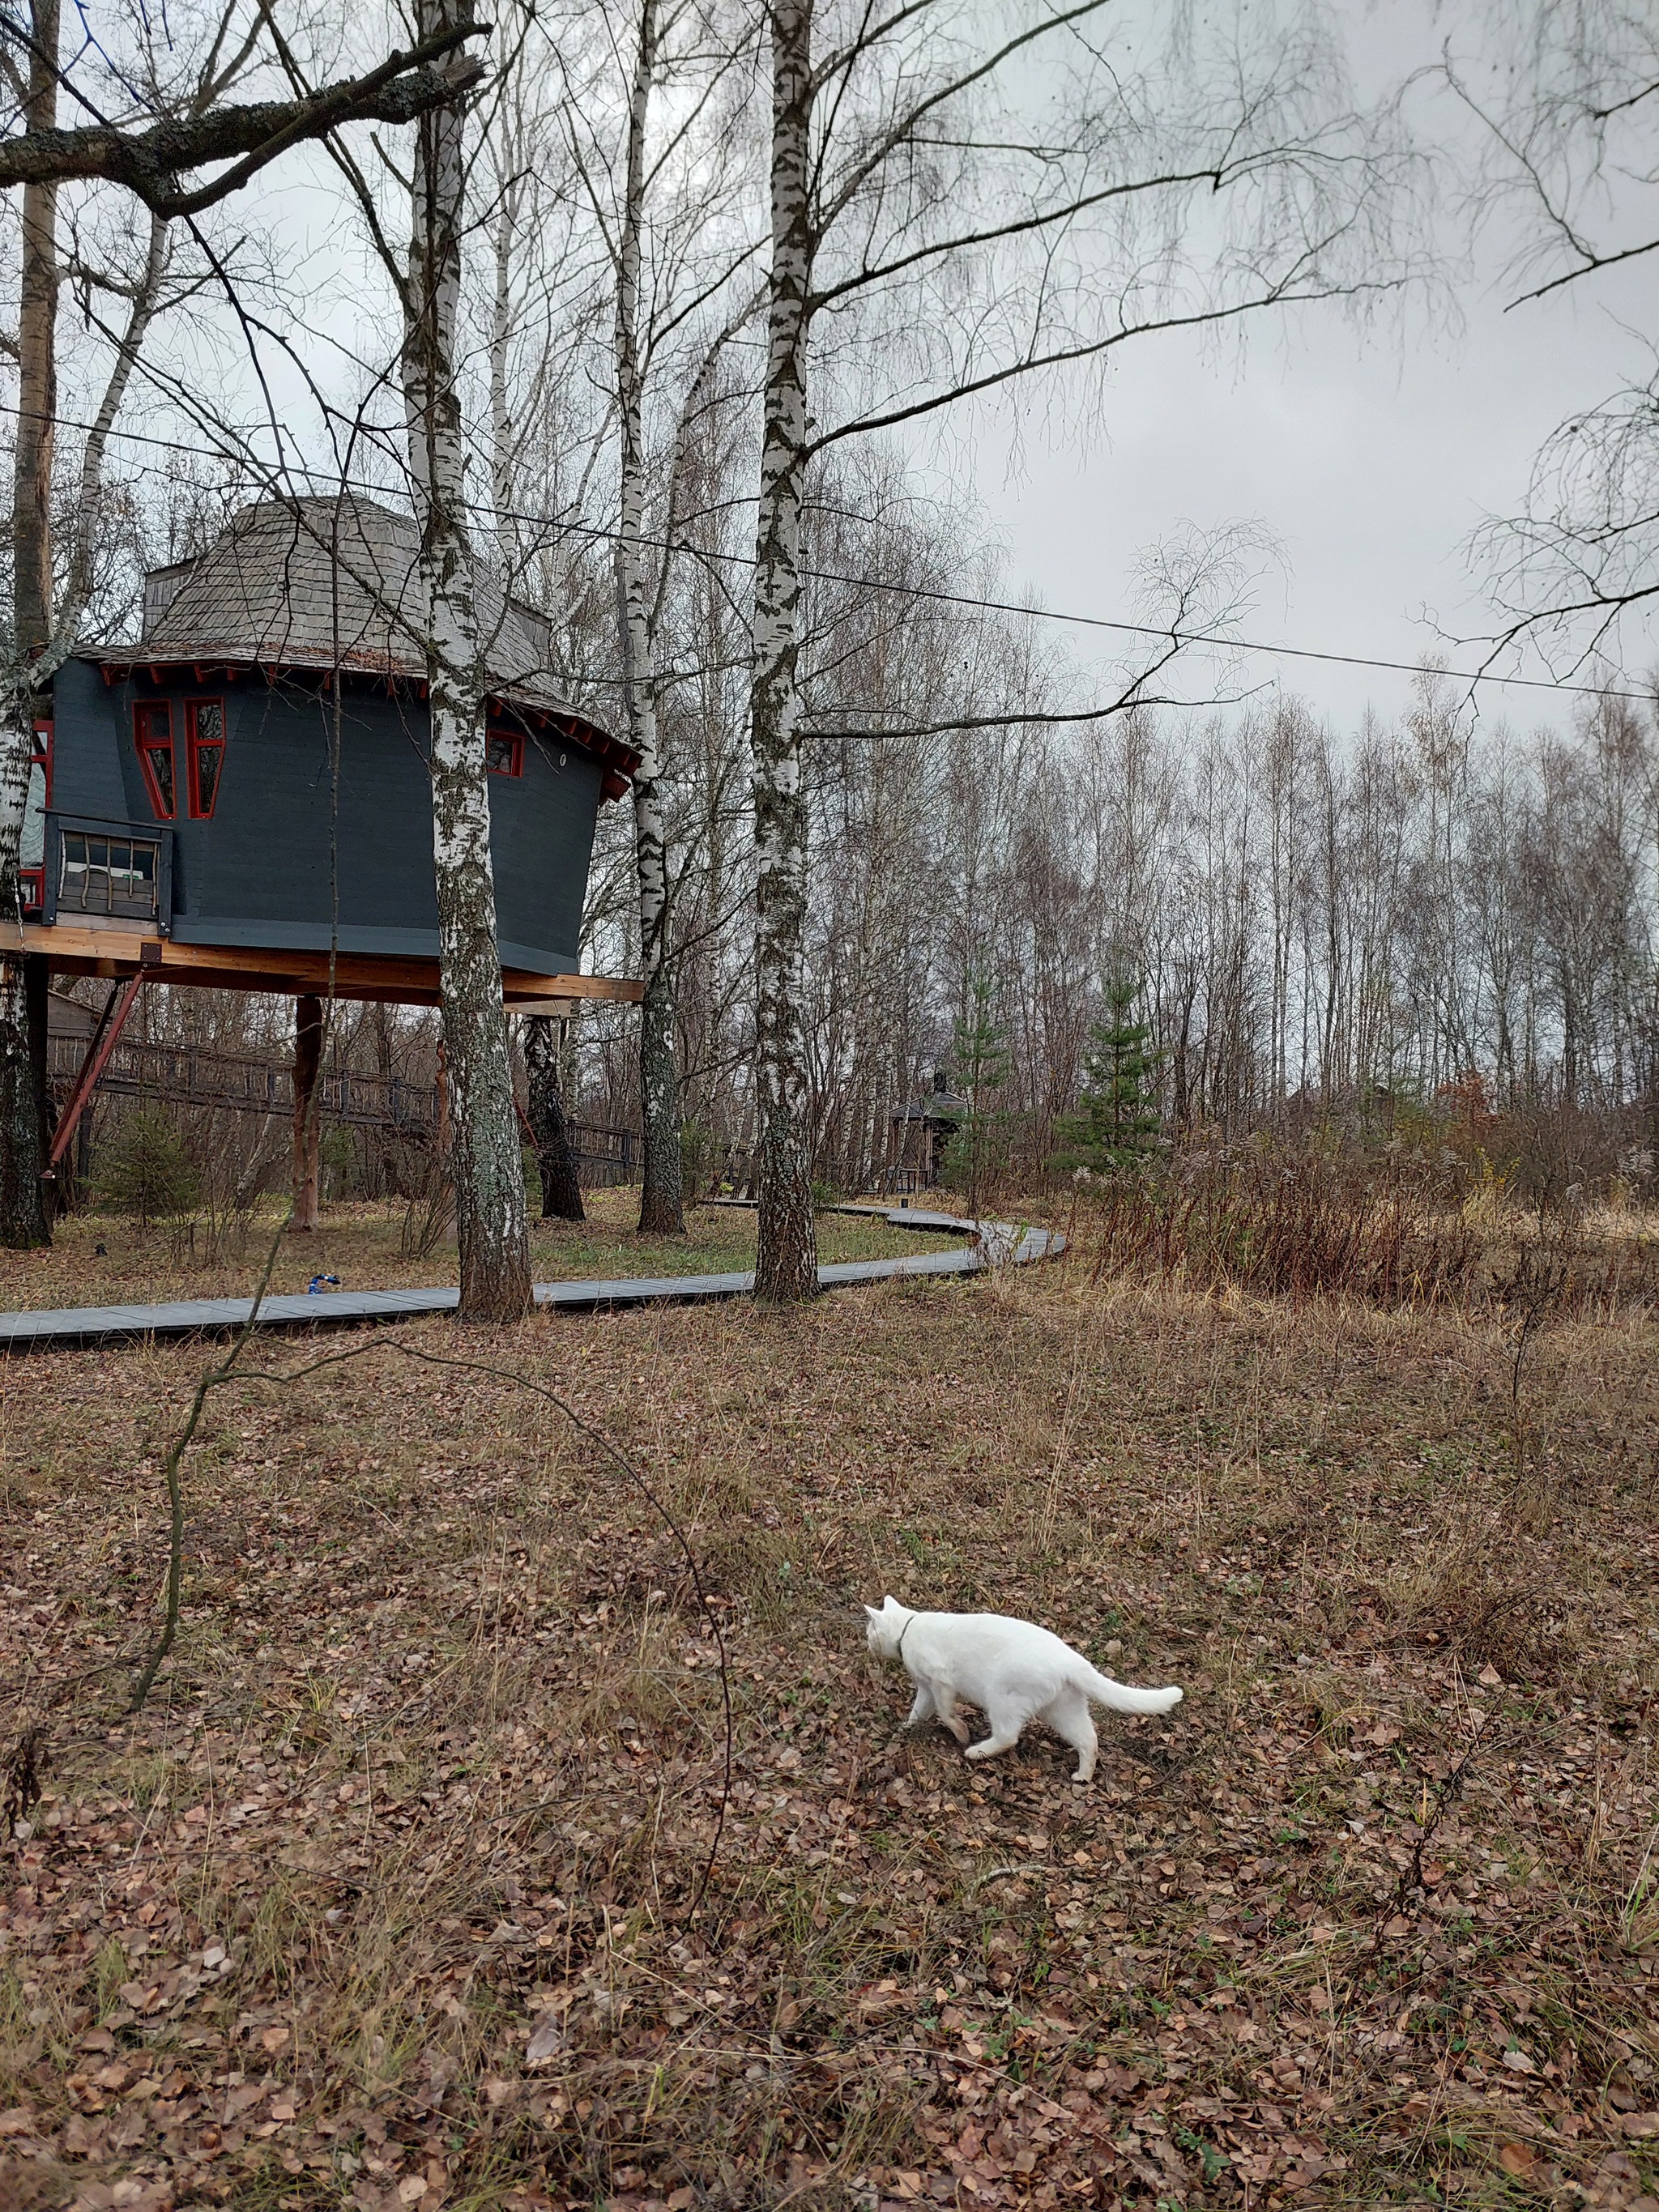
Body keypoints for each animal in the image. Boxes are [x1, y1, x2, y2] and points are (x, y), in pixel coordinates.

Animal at [862, 1592, 1185, 1778]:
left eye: (869, 1631)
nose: (867, 1643)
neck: (908, 1629)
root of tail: (1070, 1659)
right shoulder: (926, 1688)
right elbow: (918, 1712)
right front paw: (906, 1729)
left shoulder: (940, 1681)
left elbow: (945, 1713)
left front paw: (961, 1733)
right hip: (1063, 1710)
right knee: (1088, 1740)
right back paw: (1083, 1777)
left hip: (1001, 1699)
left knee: (1008, 1737)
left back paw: (976, 1751)